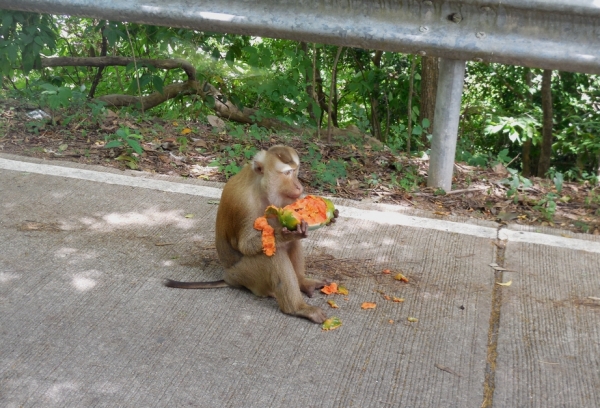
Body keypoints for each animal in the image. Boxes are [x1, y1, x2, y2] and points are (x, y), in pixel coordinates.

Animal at [165, 145, 338, 324]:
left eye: (296, 170)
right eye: (287, 173)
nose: (299, 186)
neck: (260, 186)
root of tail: (229, 277)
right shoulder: (245, 203)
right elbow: (246, 245)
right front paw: (288, 233)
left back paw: (303, 282)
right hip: (246, 274)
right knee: (272, 254)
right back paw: (297, 308)